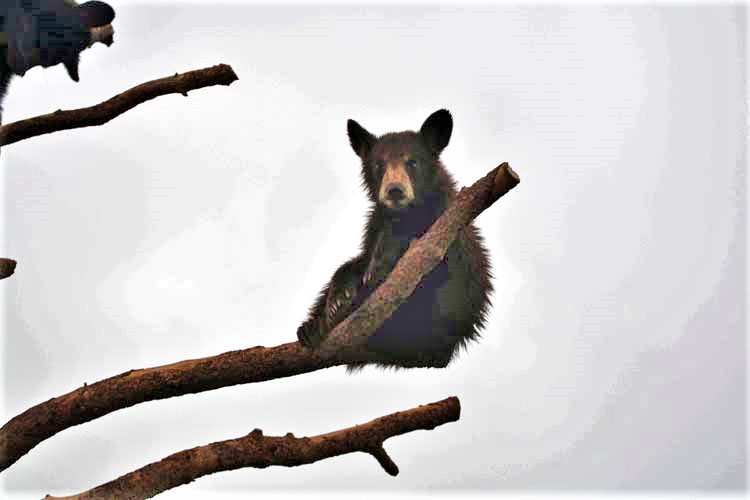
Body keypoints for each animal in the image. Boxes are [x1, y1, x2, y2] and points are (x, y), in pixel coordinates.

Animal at [297, 109, 493, 371]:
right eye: (379, 164)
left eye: (413, 162)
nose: (395, 190)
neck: (403, 214)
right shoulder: (374, 225)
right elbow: (355, 261)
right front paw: (337, 298)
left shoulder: (441, 227)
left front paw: (370, 275)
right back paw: (310, 327)